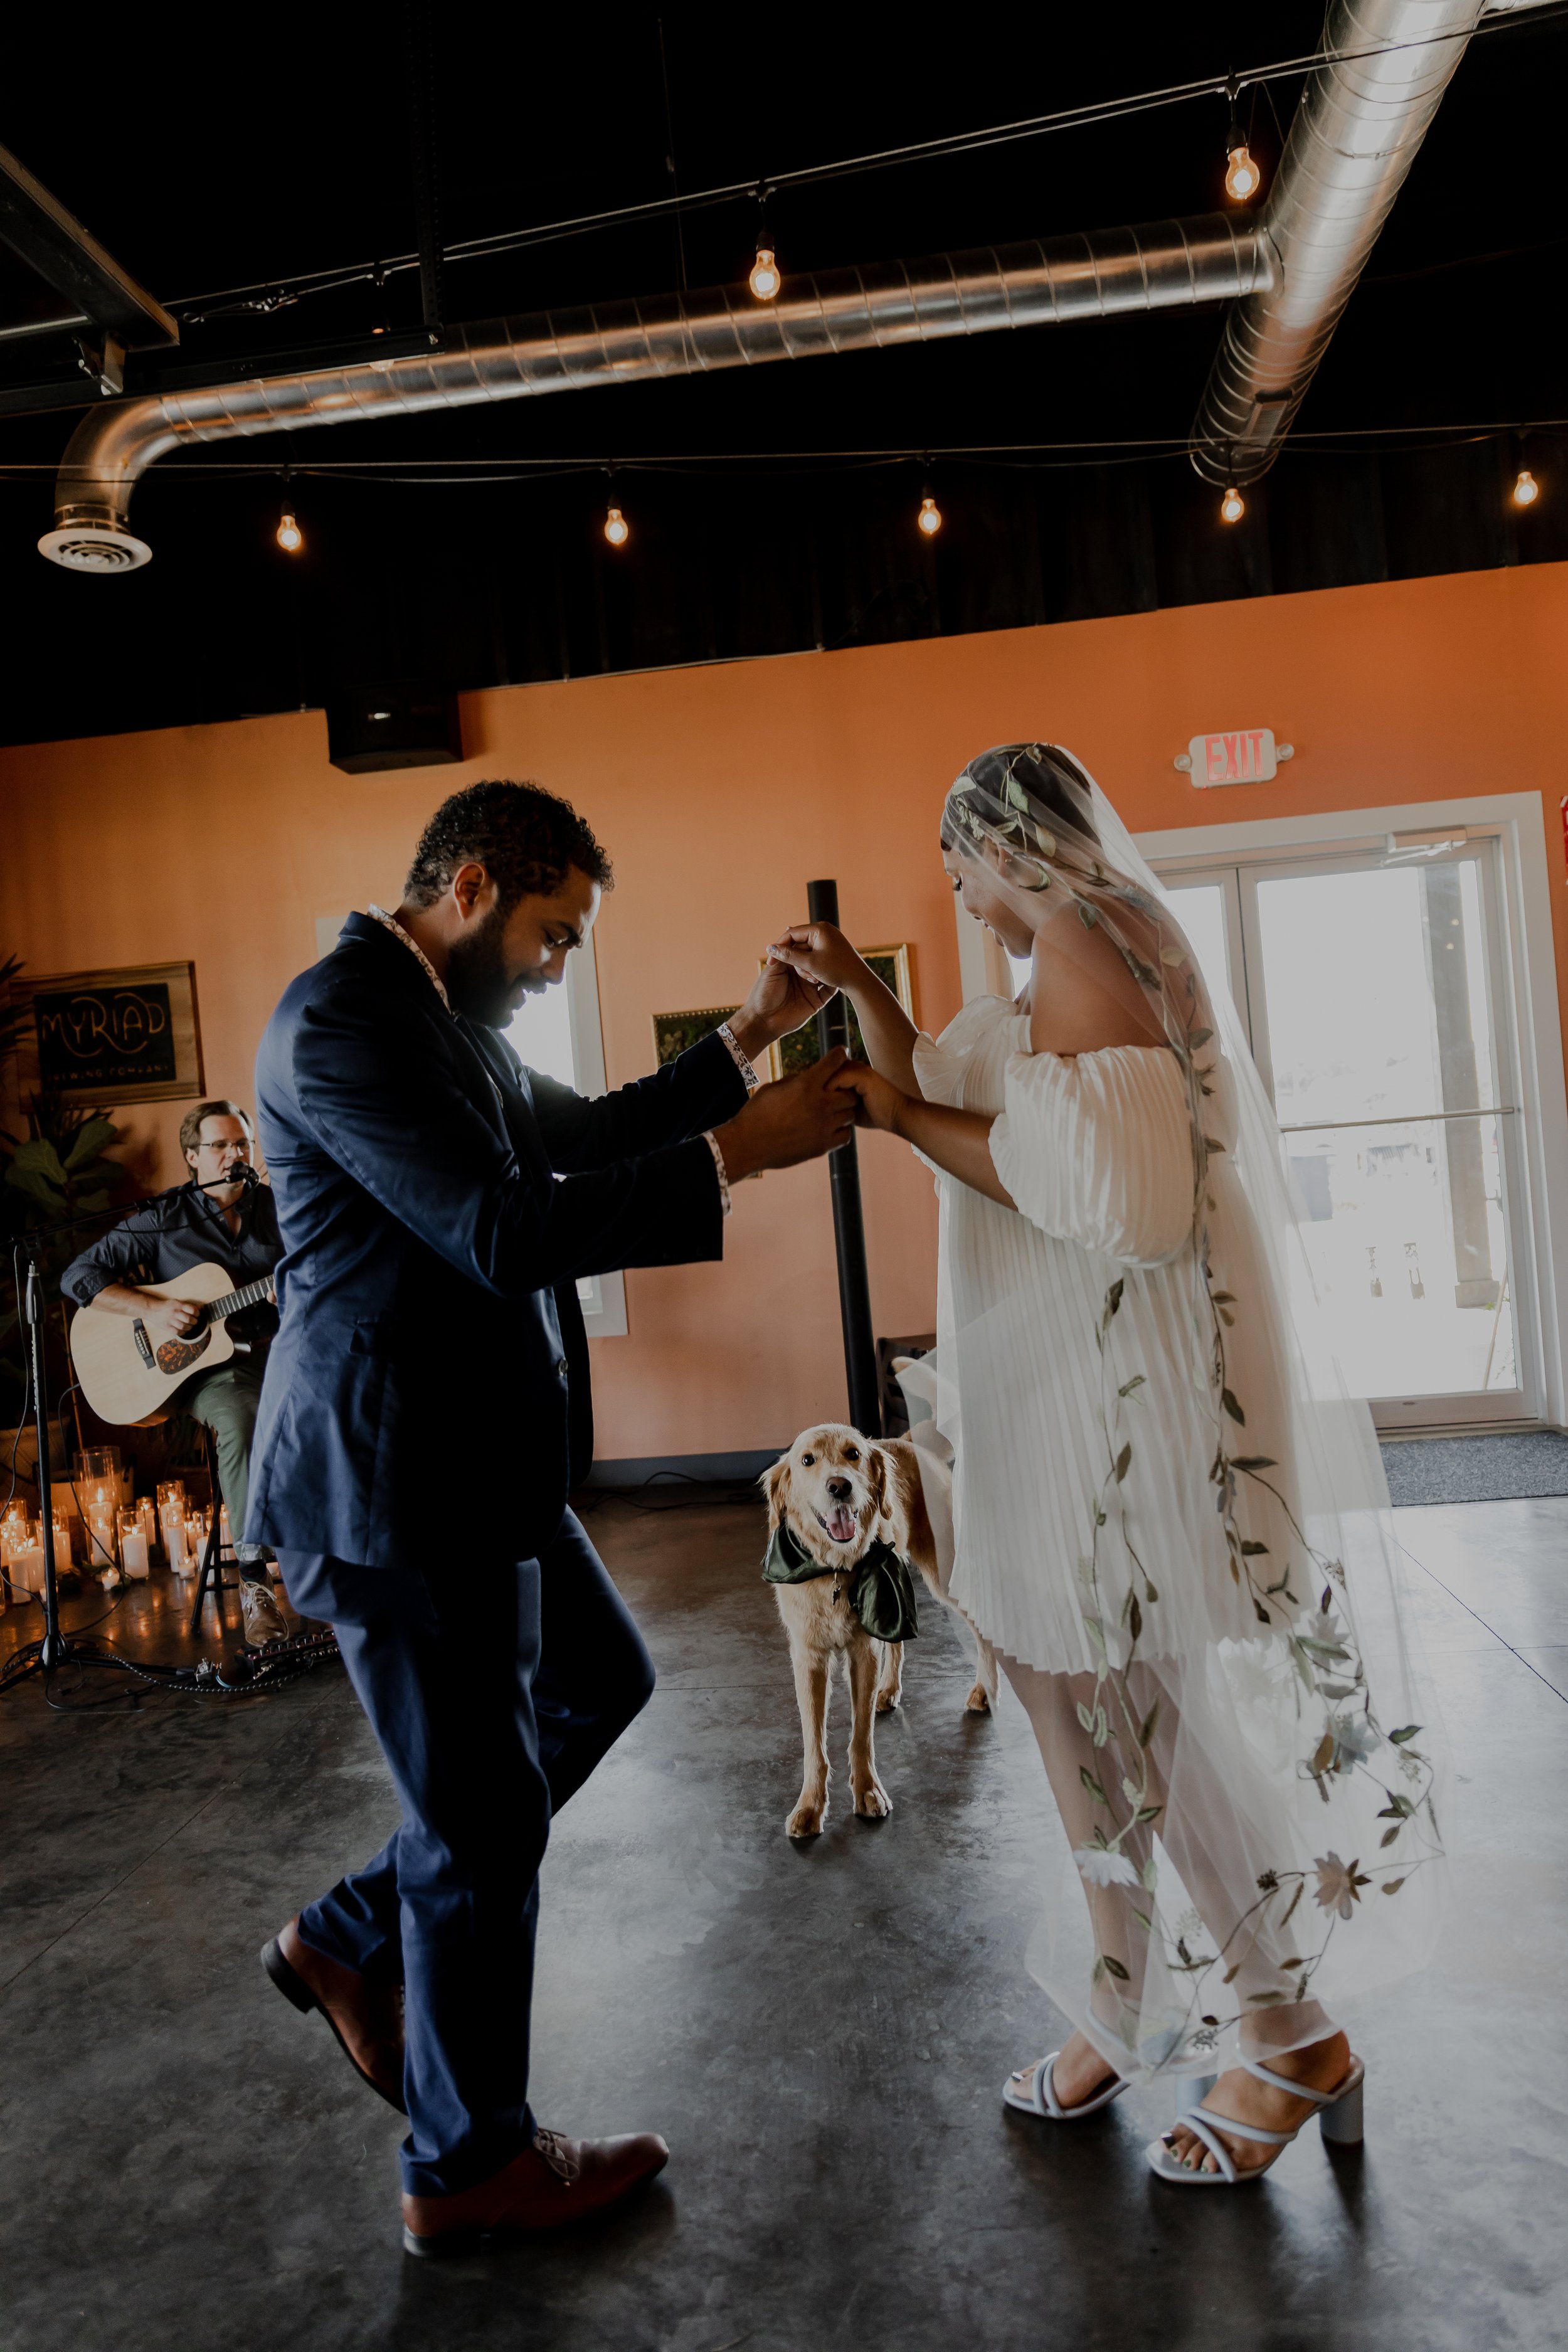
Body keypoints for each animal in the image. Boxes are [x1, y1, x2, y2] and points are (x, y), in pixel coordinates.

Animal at [766, 1430, 1001, 1835]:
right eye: (808, 1460)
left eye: (854, 1454)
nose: (839, 1486)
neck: (835, 1570)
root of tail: (905, 1440)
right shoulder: (809, 1659)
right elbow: (814, 1743)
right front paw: (810, 1806)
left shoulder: (863, 1653)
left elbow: (861, 1735)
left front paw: (868, 1792)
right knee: (899, 1642)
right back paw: (889, 1689)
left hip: (946, 1572)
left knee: (982, 1627)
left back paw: (985, 1690)